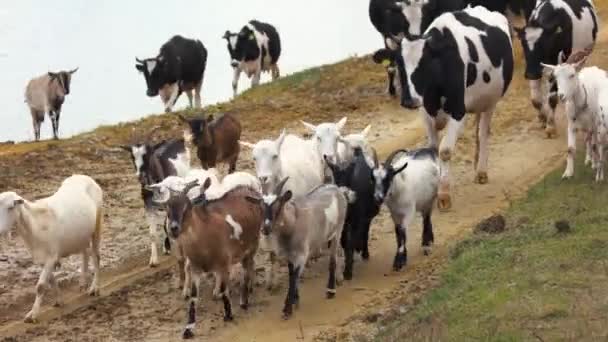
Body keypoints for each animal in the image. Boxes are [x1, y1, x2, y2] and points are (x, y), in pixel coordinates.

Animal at [0, 175, 102, 322]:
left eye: (10, 207)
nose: (0, 230)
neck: (35, 224)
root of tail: (83, 176)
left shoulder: (51, 256)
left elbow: (40, 286)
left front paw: (33, 314)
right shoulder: (42, 258)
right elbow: (51, 281)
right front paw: (59, 301)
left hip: (97, 225)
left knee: (96, 256)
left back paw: (94, 288)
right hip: (81, 234)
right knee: (85, 253)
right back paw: (83, 282)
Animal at [153, 179, 262, 340]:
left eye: (187, 207)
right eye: (167, 209)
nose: (173, 228)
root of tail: (248, 189)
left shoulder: (223, 263)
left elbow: (224, 289)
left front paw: (228, 315)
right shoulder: (196, 268)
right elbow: (193, 296)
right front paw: (188, 328)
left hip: (253, 243)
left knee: (247, 268)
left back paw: (244, 299)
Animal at [370, 5, 512, 210]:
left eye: (425, 64)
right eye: (398, 64)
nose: (408, 100)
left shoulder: (458, 111)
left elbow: (444, 151)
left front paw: (444, 195)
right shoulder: (425, 111)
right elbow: (432, 148)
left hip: (491, 101)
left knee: (483, 132)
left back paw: (481, 171)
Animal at [512, 0, 600, 139]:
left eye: (543, 43)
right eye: (523, 44)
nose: (531, 73)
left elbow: (552, 98)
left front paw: (550, 127)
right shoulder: (534, 68)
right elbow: (535, 100)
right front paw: (542, 118)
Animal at [540, 51, 608, 179]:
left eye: (571, 75)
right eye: (555, 77)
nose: (561, 96)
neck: (582, 101)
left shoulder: (595, 124)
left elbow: (595, 145)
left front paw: (596, 166)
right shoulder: (571, 125)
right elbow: (570, 149)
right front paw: (568, 173)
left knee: (593, 141)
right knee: (587, 138)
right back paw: (588, 159)